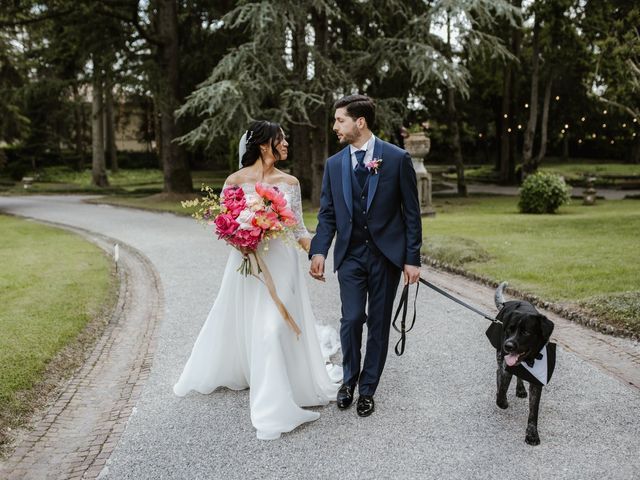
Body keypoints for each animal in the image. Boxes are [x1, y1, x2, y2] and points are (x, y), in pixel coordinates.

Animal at [490, 282, 556, 446]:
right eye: (509, 329)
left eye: (526, 332)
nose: (507, 346)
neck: (529, 360)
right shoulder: (506, 367)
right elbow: (502, 391)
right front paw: (502, 400)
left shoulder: (537, 382)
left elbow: (533, 412)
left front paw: (532, 434)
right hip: (500, 357)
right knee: (499, 372)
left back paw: (520, 389)